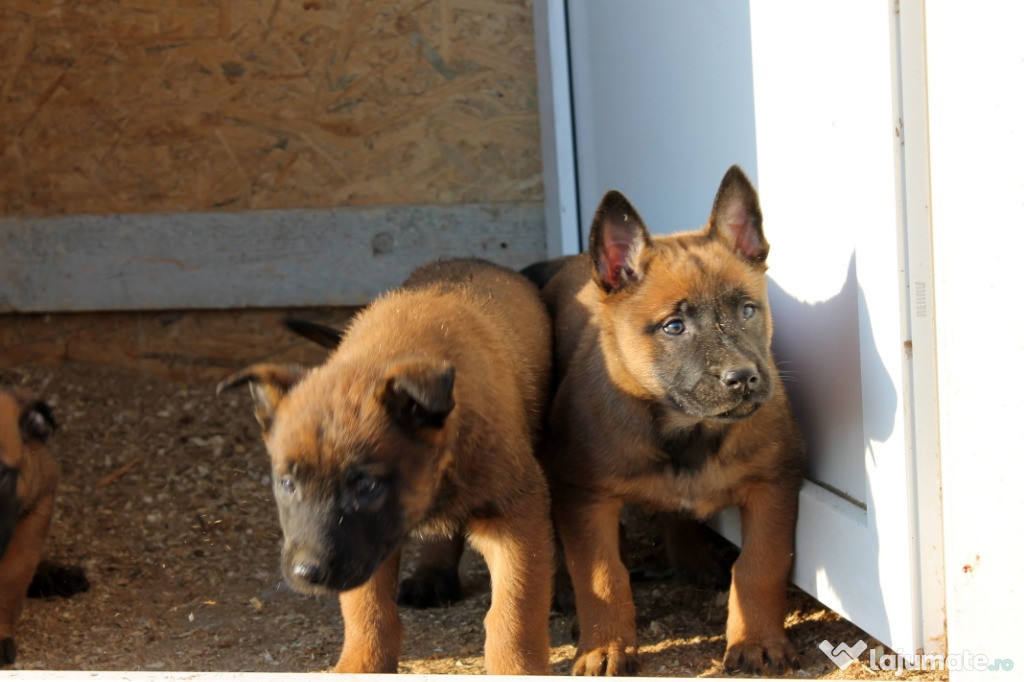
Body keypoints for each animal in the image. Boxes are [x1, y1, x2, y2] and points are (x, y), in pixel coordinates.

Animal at [221, 258, 557, 671]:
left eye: (366, 486)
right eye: (287, 484)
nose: (306, 573)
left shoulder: (515, 519)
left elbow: (515, 610)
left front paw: (518, 668)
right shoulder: (367, 546)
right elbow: (367, 610)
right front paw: (361, 664)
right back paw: (432, 574)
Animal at [544, 165, 806, 675]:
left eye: (748, 310)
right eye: (674, 327)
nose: (744, 379)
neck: (687, 431)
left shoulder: (773, 483)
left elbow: (759, 565)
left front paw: (757, 641)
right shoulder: (584, 497)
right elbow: (602, 575)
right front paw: (605, 646)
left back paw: (692, 562)